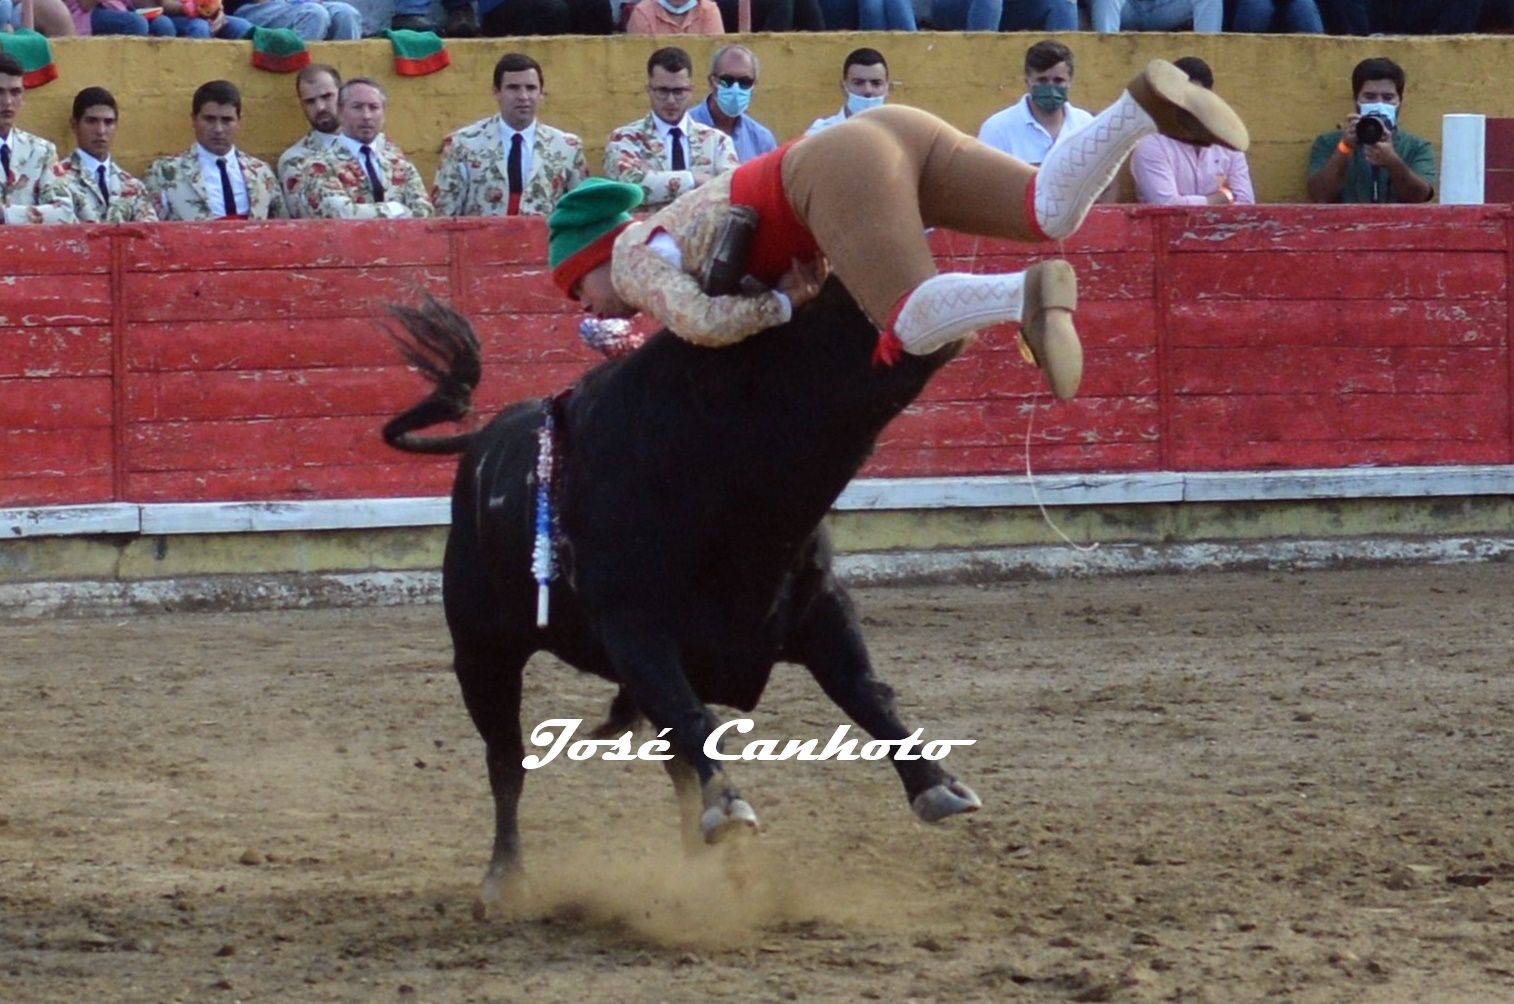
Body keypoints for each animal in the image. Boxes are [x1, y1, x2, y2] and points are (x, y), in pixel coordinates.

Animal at [383, 286, 982, 916]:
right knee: (506, 759)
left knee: (671, 764)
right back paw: (504, 880)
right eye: (809, 313)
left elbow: (868, 693)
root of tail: (480, 440)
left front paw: (938, 786)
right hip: (482, 654)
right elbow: (692, 715)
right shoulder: (634, 628)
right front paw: (730, 807)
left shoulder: (821, 608)